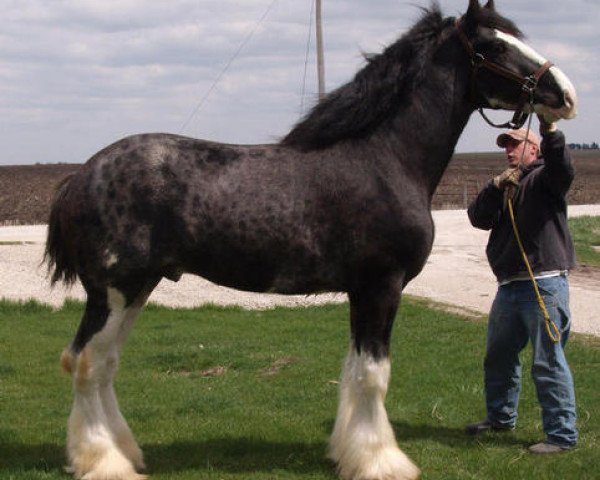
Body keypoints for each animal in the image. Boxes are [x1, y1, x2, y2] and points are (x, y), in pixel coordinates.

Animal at [43, 1, 576, 478]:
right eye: (493, 46)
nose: (565, 94)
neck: (385, 158)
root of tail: (79, 178)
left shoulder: (362, 293)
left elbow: (354, 371)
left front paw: (348, 453)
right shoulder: (381, 287)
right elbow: (373, 376)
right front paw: (383, 463)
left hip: (138, 289)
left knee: (105, 363)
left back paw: (126, 453)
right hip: (114, 292)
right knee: (85, 362)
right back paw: (104, 463)